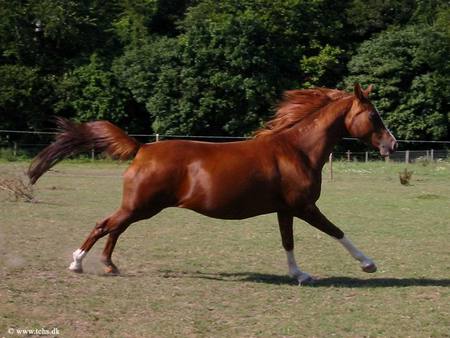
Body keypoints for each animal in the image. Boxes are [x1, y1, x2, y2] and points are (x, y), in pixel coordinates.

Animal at [28, 83, 396, 284]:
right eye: (373, 116)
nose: (392, 145)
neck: (298, 150)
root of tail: (142, 148)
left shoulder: (286, 210)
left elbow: (288, 242)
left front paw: (300, 275)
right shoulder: (304, 207)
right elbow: (337, 231)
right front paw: (368, 264)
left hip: (140, 207)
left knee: (115, 228)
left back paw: (108, 266)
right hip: (141, 205)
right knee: (104, 224)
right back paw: (77, 263)